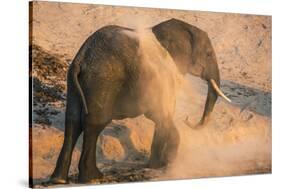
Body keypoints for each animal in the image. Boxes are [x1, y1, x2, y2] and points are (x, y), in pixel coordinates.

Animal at [48, 18, 230, 184]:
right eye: (208, 53)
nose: (188, 119)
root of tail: (82, 58)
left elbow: (160, 117)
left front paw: (156, 166)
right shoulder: (161, 74)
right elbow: (161, 115)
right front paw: (169, 164)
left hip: (74, 81)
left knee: (72, 121)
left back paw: (59, 180)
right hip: (103, 79)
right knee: (94, 123)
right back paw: (93, 177)